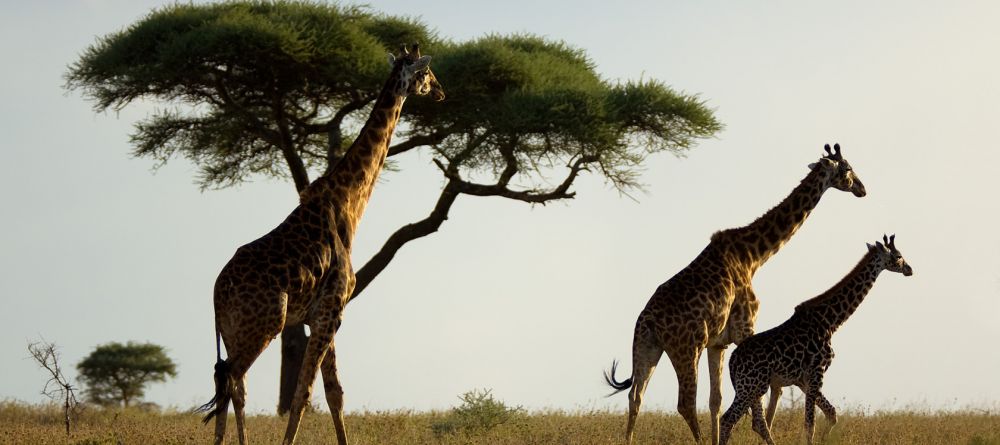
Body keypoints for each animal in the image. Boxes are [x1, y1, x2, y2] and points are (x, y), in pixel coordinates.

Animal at [194, 42, 442, 444]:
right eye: (426, 73)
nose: (440, 92)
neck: (347, 202)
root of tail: (218, 292)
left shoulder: (323, 313)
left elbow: (335, 392)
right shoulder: (332, 309)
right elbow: (305, 392)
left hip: (233, 330)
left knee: (229, 382)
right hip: (264, 325)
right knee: (232, 378)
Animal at [600, 144, 868, 442]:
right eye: (847, 168)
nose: (862, 189)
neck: (753, 256)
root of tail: (647, 319)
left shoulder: (718, 343)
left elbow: (716, 401)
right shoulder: (745, 327)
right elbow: (762, 396)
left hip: (647, 346)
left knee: (636, 396)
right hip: (686, 348)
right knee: (684, 403)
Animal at [720, 234, 916, 442]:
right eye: (898, 256)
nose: (909, 269)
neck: (830, 322)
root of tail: (732, 361)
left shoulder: (802, 379)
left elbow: (831, 413)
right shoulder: (816, 372)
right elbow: (810, 424)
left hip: (754, 386)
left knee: (758, 423)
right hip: (751, 385)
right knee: (728, 419)